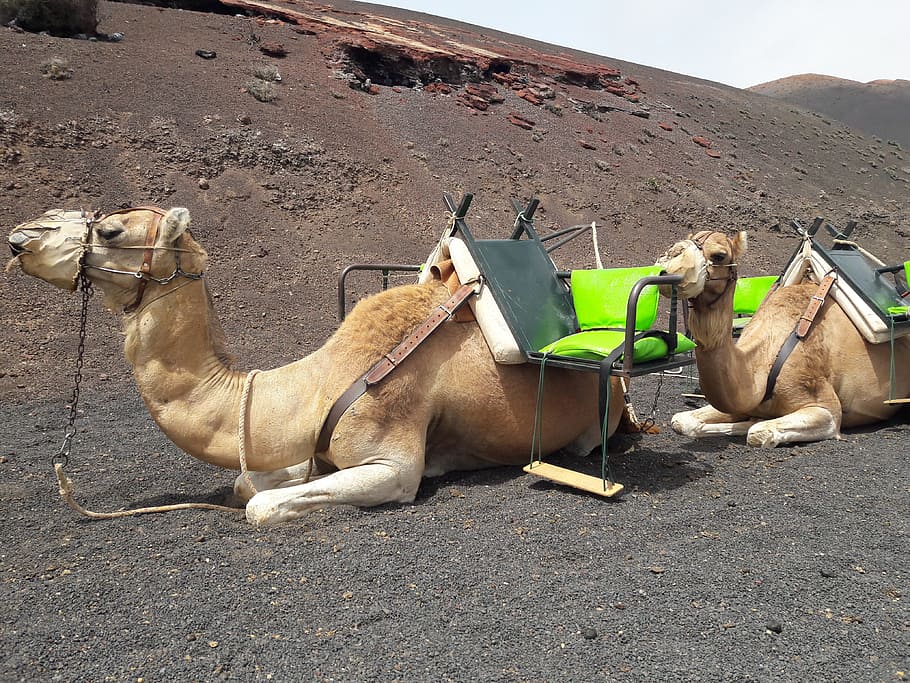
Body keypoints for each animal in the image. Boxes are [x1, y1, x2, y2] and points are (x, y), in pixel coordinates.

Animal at [8, 206, 624, 525]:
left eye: (111, 230)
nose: (19, 237)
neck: (319, 383)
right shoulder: (309, 447)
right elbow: (245, 482)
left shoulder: (392, 462)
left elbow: (260, 506)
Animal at [655, 230, 909, 447]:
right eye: (680, 245)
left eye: (719, 255)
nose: (668, 268)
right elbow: (681, 421)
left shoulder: (826, 408)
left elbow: (757, 432)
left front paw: (752, 424)